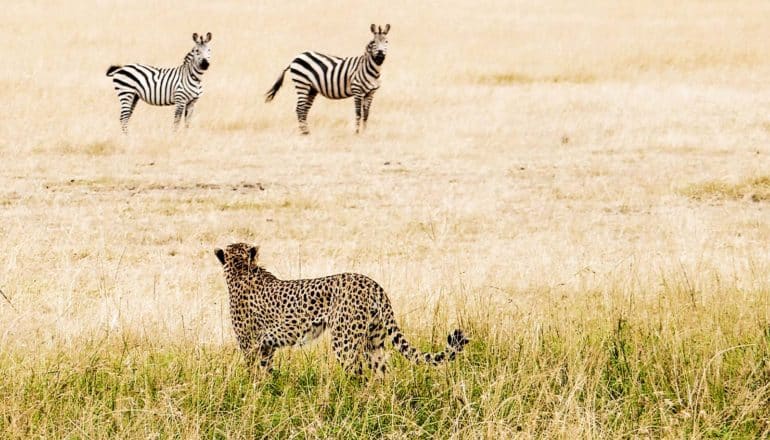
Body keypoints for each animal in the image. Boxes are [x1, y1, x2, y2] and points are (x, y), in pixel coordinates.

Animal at [213, 244, 472, 374]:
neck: (241, 269)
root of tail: (370, 282)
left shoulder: (250, 345)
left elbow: (253, 373)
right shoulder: (266, 347)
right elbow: (265, 373)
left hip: (344, 341)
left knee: (358, 375)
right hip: (373, 341)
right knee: (383, 374)